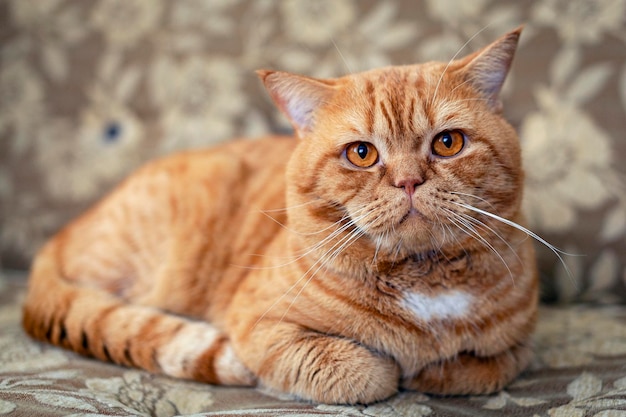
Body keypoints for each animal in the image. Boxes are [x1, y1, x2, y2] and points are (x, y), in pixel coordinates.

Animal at [24, 28, 536, 404]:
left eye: (448, 143)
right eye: (362, 153)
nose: (408, 181)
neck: (423, 282)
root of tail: (59, 236)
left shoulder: (517, 347)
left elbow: (483, 368)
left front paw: (432, 368)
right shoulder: (262, 328)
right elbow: (365, 373)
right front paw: (396, 368)